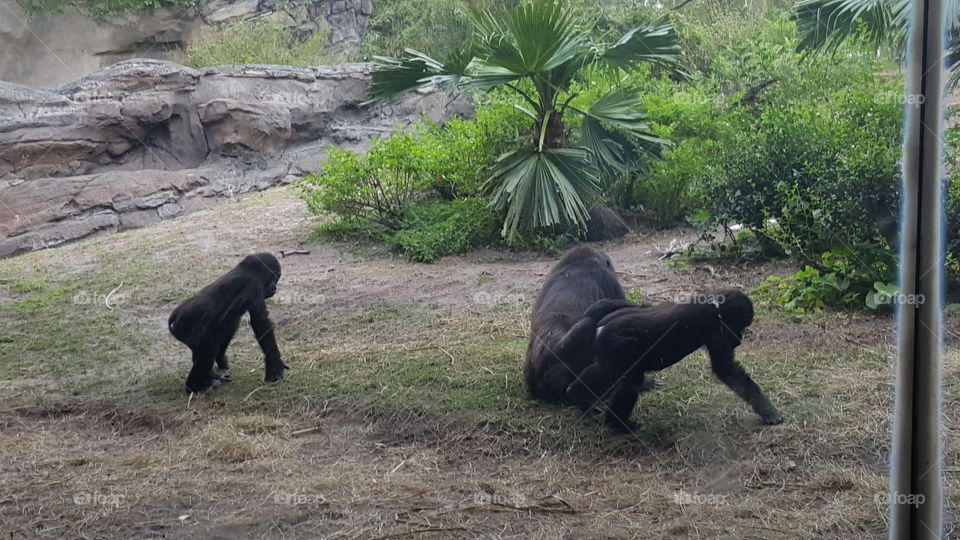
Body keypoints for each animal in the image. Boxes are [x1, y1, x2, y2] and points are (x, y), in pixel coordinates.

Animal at [169, 253, 288, 392]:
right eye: (275, 277)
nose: (275, 288)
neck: (247, 270)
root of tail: (174, 317)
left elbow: (229, 328)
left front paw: (221, 359)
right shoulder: (253, 286)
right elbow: (261, 323)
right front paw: (274, 366)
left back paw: (209, 378)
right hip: (185, 327)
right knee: (208, 348)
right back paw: (194, 387)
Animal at [568, 288, 784, 432]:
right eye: (740, 325)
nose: (739, 339)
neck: (715, 305)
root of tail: (599, 325)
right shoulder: (716, 329)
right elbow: (727, 370)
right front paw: (767, 409)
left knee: (610, 372)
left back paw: (581, 397)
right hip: (616, 344)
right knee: (624, 378)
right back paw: (614, 421)